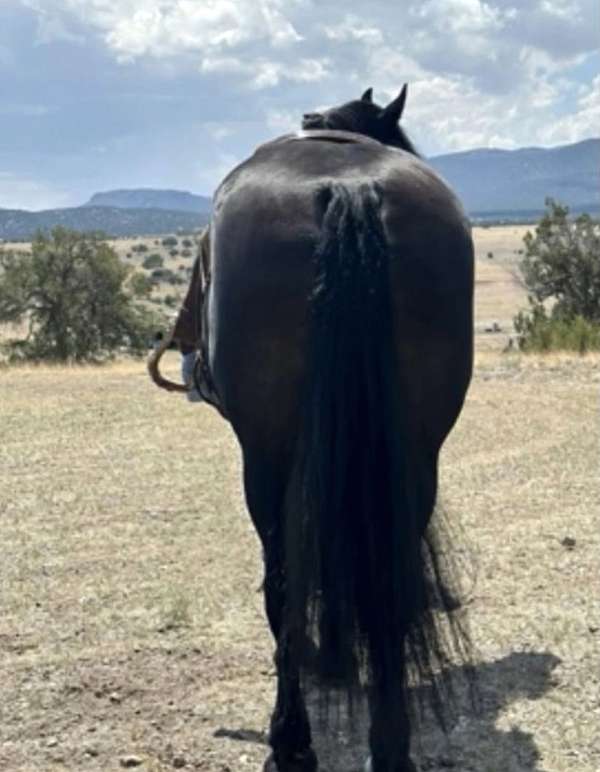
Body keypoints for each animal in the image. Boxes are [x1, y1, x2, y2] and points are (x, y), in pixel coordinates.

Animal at [150, 85, 475, 772]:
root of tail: (348, 189)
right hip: (415, 455)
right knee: (384, 578)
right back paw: (390, 743)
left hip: (266, 462)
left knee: (284, 585)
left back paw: (292, 739)